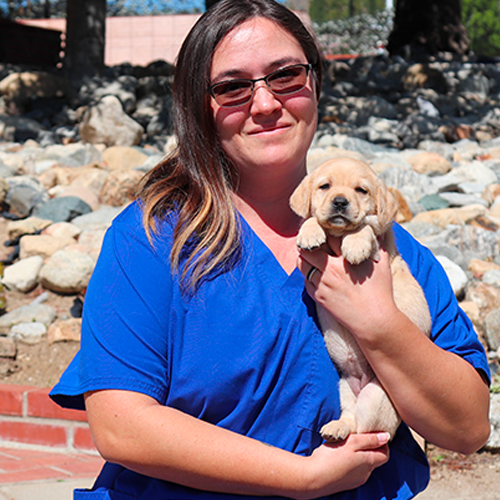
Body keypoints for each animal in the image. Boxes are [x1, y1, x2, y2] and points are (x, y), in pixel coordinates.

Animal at [292, 157, 432, 442]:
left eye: (361, 190)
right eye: (325, 186)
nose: (340, 202)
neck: (338, 233)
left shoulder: (379, 242)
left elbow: (365, 227)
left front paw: (355, 245)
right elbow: (311, 219)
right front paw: (310, 234)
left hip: (375, 396)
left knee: (364, 429)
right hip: (345, 386)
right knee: (350, 417)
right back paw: (336, 428)